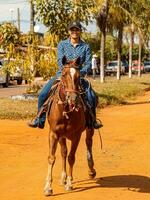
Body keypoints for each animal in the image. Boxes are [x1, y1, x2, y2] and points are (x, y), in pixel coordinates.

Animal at [44, 55, 95, 195]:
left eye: (78, 75)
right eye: (63, 74)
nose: (73, 98)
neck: (66, 109)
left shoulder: (76, 136)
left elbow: (71, 158)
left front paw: (70, 183)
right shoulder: (54, 134)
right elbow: (52, 157)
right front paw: (48, 187)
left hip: (90, 129)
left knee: (88, 143)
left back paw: (91, 170)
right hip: (61, 136)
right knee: (63, 152)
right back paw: (63, 177)